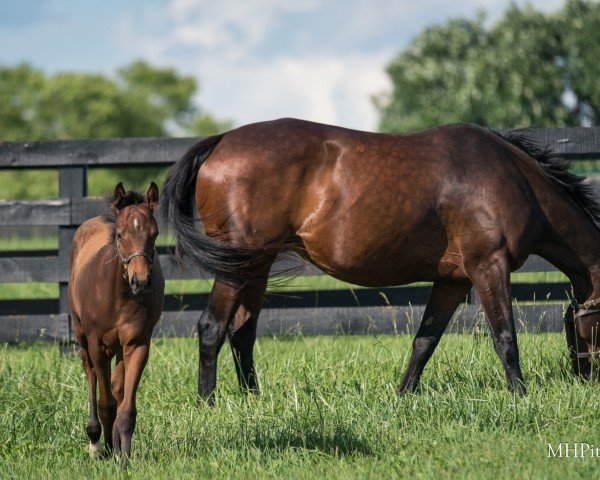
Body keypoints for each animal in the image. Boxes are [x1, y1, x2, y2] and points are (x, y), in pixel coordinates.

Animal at [69, 182, 164, 464]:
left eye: (155, 233)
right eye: (120, 235)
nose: (140, 281)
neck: (118, 295)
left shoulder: (137, 343)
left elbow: (125, 406)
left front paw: (124, 457)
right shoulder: (97, 345)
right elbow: (106, 404)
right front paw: (108, 450)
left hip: (120, 348)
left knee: (117, 388)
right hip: (83, 338)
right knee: (91, 375)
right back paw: (95, 440)